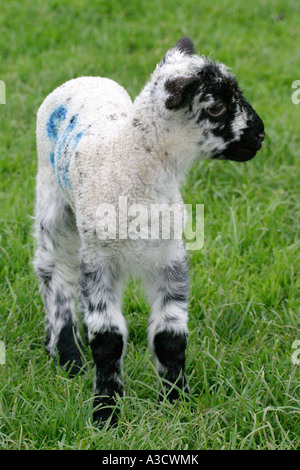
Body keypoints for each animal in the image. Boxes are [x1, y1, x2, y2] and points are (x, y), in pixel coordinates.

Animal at [34, 36, 264, 426]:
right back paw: (68, 356)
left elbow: (170, 336)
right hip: (52, 202)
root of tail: (83, 78)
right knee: (54, 275)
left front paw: (176, 403)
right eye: (217, 107)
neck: (130, 157)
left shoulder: (170, 258)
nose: (261, 136)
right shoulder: (99, 261)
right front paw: (105, 414)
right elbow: (107, 340)